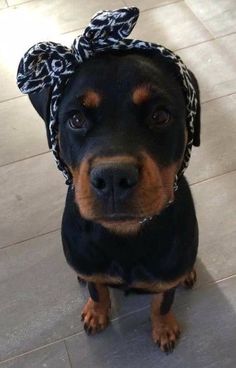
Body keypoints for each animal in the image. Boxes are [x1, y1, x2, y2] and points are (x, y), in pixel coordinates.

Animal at [26, 44, 200, 352]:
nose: (113, 177)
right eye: (76, 119)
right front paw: (96, 313)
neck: (125, 234)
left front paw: (164, 328)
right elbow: (98, 290)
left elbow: (162, 303)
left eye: (160, 116)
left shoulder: (166, 278)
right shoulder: (91, 265)